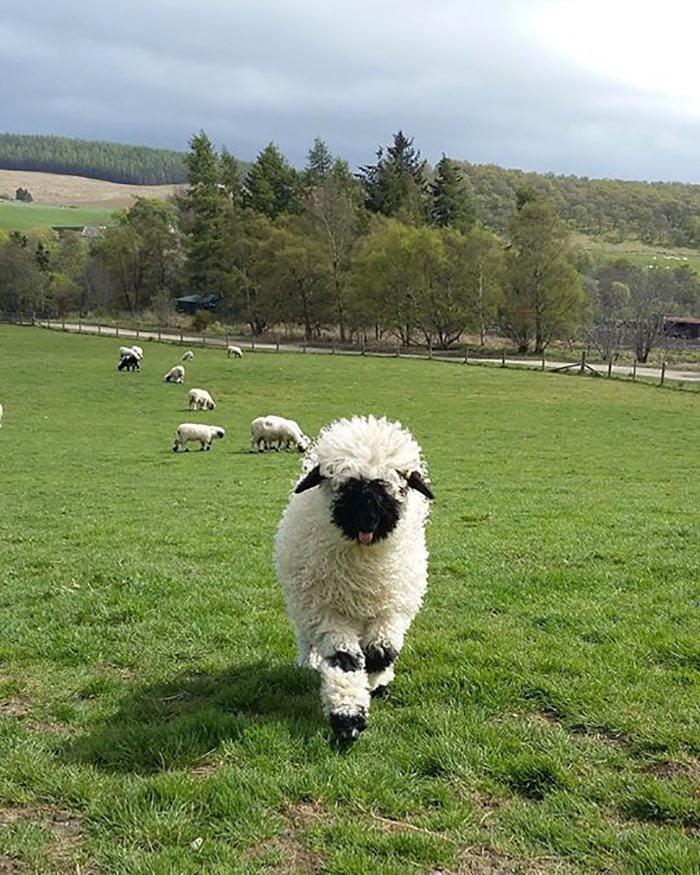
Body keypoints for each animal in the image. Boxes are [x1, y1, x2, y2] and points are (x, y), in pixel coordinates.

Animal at [274, 415, 434, 741]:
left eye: (391, 485)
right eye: (346, 486)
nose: (367, 521)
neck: (363, 565)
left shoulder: (391, 609)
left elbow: (381, 652)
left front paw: (375, 681)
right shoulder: (326, 614)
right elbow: (346, 660)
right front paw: (347, 716)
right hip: (304, 607)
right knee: (306, 639)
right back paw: (307, 663)